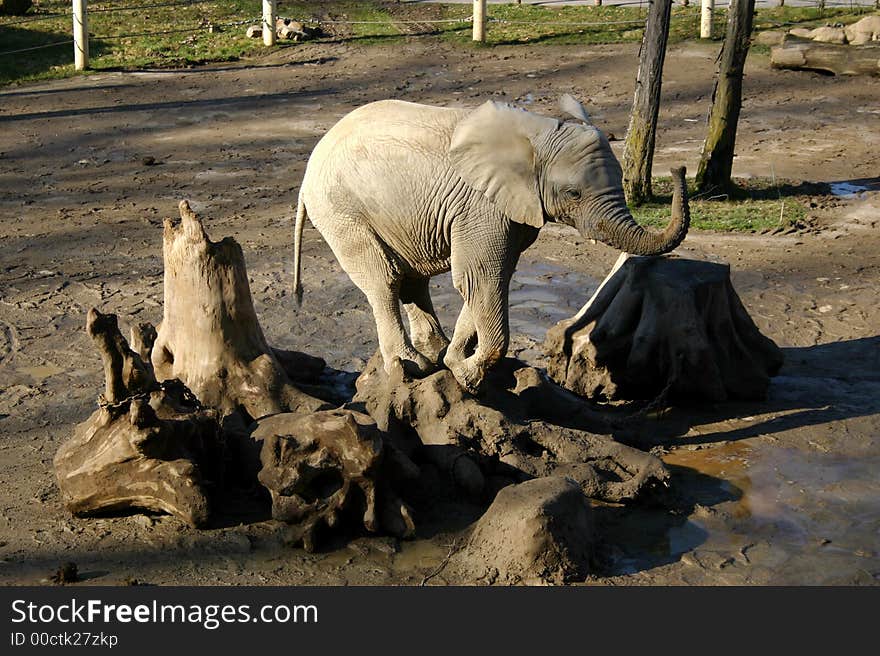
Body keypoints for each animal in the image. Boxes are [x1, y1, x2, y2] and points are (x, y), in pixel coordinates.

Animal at [292, 96, 692, 394]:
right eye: (573, 194)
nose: (680, 170)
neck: (537, 132)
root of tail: (308, 169)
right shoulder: (482, 206)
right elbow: (482, 277)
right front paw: (469, 378)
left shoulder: (511, 208)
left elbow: (491, 278)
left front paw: (455, 362)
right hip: (341, 211)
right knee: (384, 280)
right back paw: (409, 367)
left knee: (411, 279)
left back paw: (434, 354)